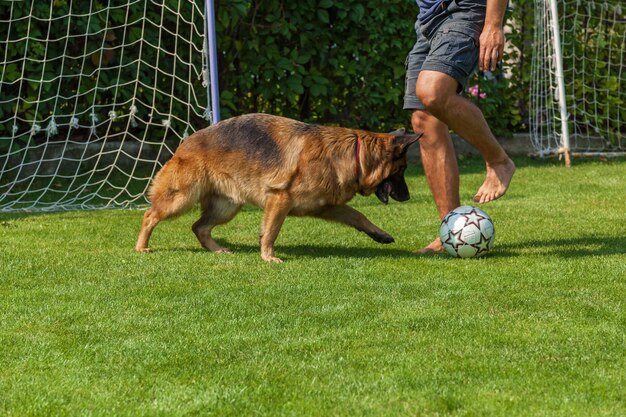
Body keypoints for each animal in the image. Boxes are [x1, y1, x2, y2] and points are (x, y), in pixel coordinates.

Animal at [136, 112, 420, 262]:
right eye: (402, 170)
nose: (408, 197)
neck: (355, 154)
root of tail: (185, 143)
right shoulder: (280, 199)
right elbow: (271, 231)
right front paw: (268, 256)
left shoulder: (327, 206)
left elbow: (359, 216)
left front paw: (380, 234)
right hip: (182, 198)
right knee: (150, 215)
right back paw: (141, 247)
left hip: (227, 207)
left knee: (199, 227)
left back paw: (218, 250)